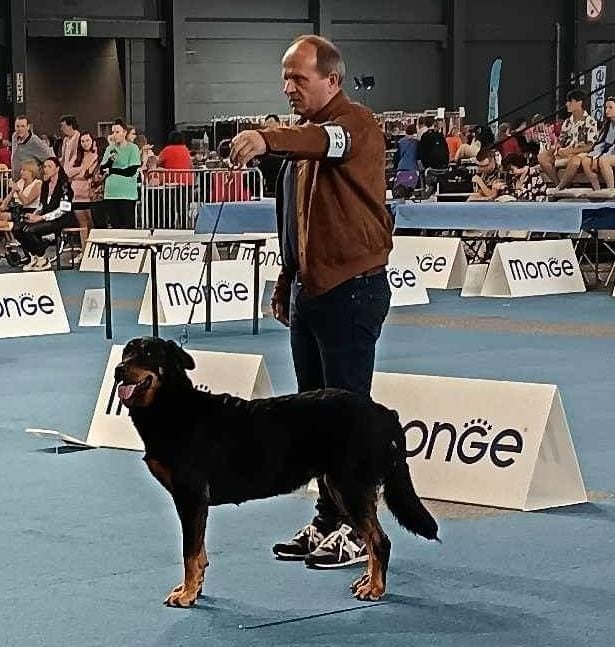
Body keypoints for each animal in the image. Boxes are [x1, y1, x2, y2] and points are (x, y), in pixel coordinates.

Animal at [115, 340, 438, 608]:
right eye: (125, 353)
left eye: (147, 354)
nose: (118, 371)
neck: (172, 407)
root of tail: (384, 412)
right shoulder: (195, 503)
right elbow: (200, 554)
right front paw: (195, 588)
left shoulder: (191, 497)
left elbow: (189, 553)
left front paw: (187, 594)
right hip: (340, 486)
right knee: (372, 542)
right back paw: (367, 580)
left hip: (350, 487)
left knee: (380, 541)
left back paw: (375, 589)